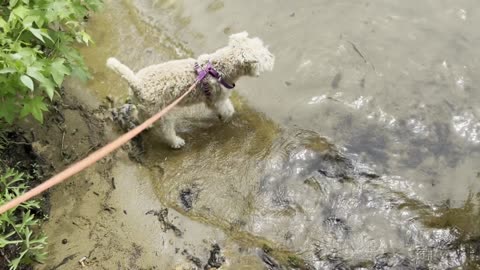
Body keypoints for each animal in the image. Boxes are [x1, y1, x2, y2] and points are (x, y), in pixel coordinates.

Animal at [107, 33, 276, 150]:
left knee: (141, 116)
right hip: (165, 114)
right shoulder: (217, 99)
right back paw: (177, 142)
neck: (219, 68)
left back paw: (146, 126)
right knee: (167, 132)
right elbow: (228, 110)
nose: (272, 56)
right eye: (262, 56)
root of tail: (136, 82)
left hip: (148, 108)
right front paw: (226, 118)